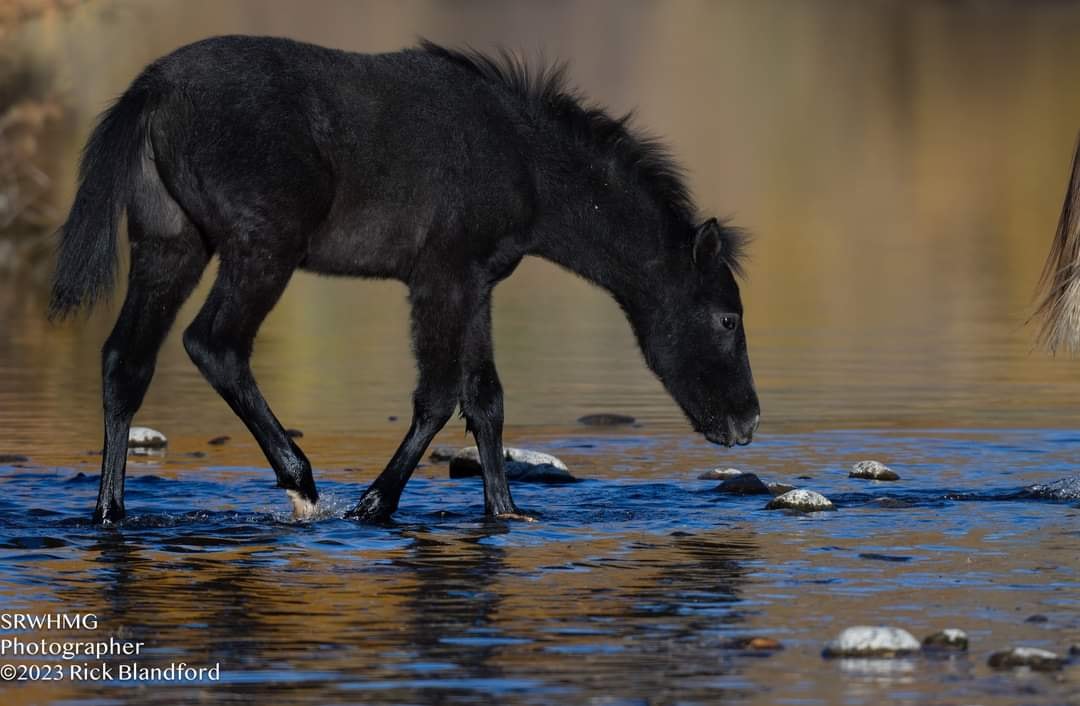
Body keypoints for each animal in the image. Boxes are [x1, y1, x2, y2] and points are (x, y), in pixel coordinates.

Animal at [50, 37, 760, 524]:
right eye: (728, 317)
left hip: (171, 243)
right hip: (261, 248)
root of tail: (153, 89)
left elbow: (486, 398)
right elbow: (440, 394)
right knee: (214, 344)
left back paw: (110, 512)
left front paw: (505, 511)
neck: (524, 161)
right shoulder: (441, 274)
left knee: (126, 361)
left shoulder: (478, 281)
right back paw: (300, 481)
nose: (746, 421)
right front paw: (374, 502)